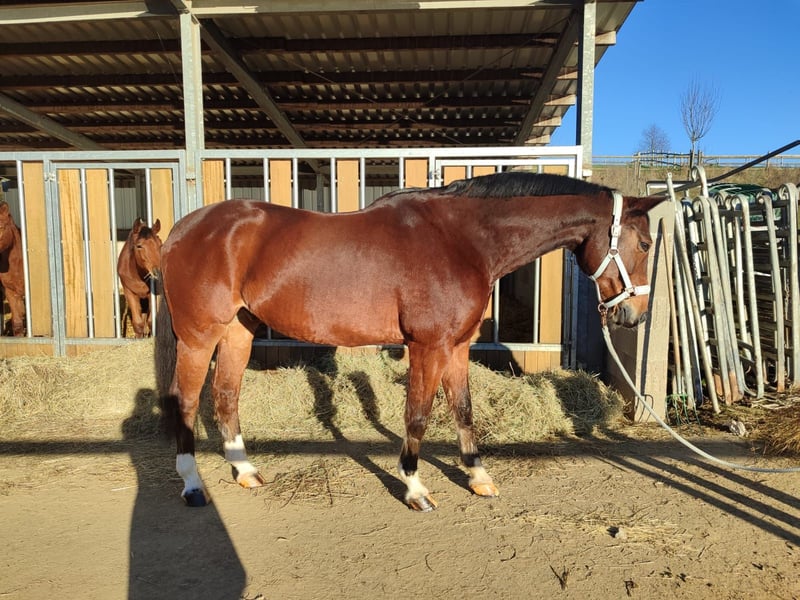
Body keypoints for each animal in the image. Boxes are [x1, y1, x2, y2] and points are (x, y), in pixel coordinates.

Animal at [155, 171, 667, 510]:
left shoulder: (457, 347)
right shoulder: (428, 346)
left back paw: (245, 472)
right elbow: (417, 415)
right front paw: (416, 488)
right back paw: (192, 485)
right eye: (644, 245)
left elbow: (463, 409)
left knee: (225, 395)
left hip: (238, 330)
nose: (635, 314)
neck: (462, 239)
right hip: (199, 335)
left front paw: (479, 477)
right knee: (186, 400)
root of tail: (181, 230)